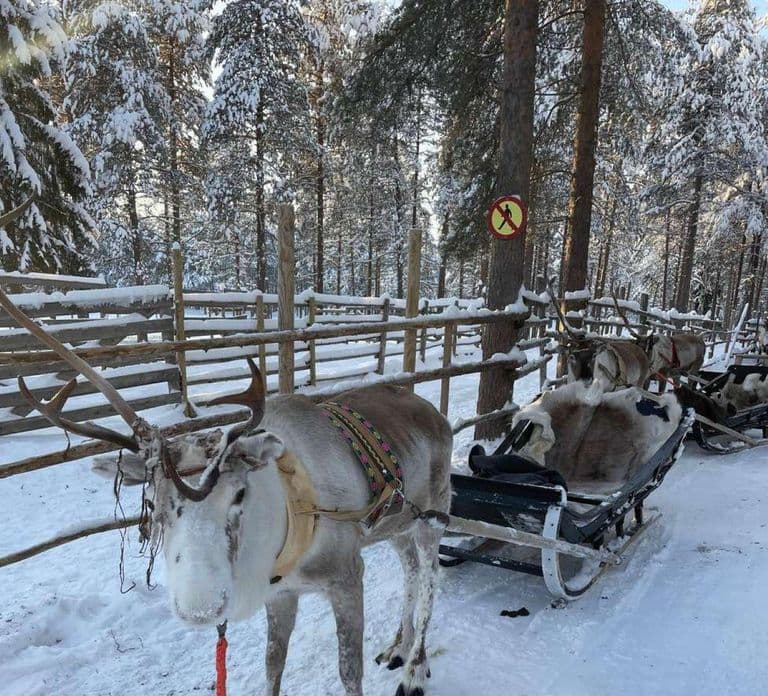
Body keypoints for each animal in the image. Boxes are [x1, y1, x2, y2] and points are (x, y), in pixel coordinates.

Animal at [0, 286, 453, 696]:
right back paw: (397, 646)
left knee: (431, 577)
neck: (291, 509)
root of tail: (434, 413)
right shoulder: (282, 592)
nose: (201, 608)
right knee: (411, 569)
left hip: (434, 512)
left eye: (238, 494)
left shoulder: (346, 575)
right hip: (396, 524)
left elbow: (348, 672)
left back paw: (415, 668)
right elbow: (273, 665)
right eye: (153, 503)